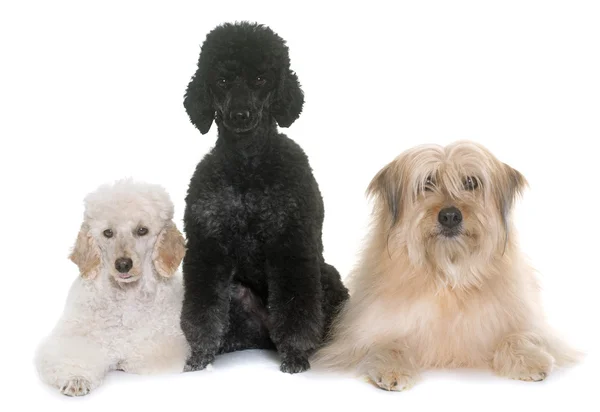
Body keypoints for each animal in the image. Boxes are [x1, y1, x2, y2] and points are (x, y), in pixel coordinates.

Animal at [34, 180, 188, 396]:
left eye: (142, 230)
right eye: (108, 232)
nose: (123, 264)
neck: (125, 296)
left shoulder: (167, 341)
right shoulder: (71, 338)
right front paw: (76, 379)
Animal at [180, 21, 350, 374]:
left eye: (260, 79)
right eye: (222, 81)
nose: (240, 114)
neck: (247, 167)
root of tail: (264, 337)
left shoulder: (291, 243)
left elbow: (295, 307)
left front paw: (295, 355)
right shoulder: (207, 245)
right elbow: (201, 309)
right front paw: (200, 356)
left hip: (325, 277)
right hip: (236, 293)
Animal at [312, 141, 580, 390]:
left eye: (471, 182)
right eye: (427, 183)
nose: (450, 215)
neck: (449, 277)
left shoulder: (523, 321)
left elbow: (517, 336)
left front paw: (529, 359)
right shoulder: (361, 335)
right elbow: (387, 343)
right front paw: (392, 369)